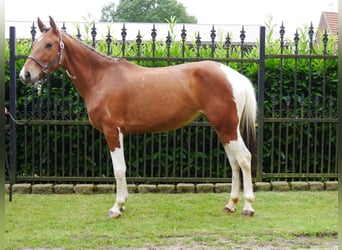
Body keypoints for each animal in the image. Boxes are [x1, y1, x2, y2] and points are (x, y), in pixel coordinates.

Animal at [19, 16, 256, 218]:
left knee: (244, 158)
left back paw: (248, 207)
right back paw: (230, 204)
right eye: (34, 43)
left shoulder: (112, 131)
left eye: (49, 44)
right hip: (223, 128)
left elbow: (118, 170)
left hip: (227, 126)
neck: (101, 77)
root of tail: (233, 75)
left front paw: (116, 207)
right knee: (234, 162)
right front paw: (122, 205)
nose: (25, 75)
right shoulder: (119, 132)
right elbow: (122, 169)